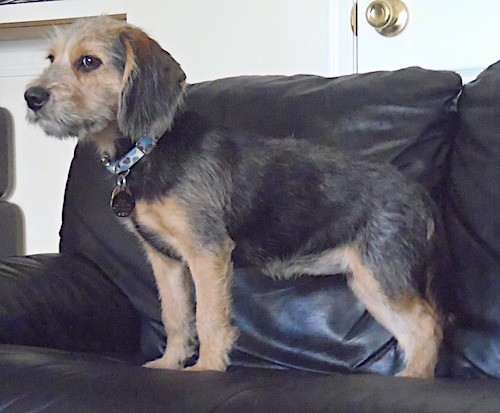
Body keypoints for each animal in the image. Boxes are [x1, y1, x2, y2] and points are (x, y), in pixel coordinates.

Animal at [25, 16, 444, 376]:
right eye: (51, 59)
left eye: (88, 62)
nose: (31, 97)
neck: (147, 149)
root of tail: (420, 196)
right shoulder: (165, 260)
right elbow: (175, 316)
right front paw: (170, 364)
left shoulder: (207, 251)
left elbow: (209, 317)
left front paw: (207, 369)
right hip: (369, 283)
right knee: (413, 332)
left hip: (383, 273)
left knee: (428, 326)